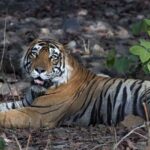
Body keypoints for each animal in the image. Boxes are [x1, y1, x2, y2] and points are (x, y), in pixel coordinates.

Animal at [0, 38, 149, 127]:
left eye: (53, 57)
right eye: (34, 54)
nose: (40, 70)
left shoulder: (37, 113)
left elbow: (7, 115)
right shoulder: (26, 103)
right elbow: (4, 106)